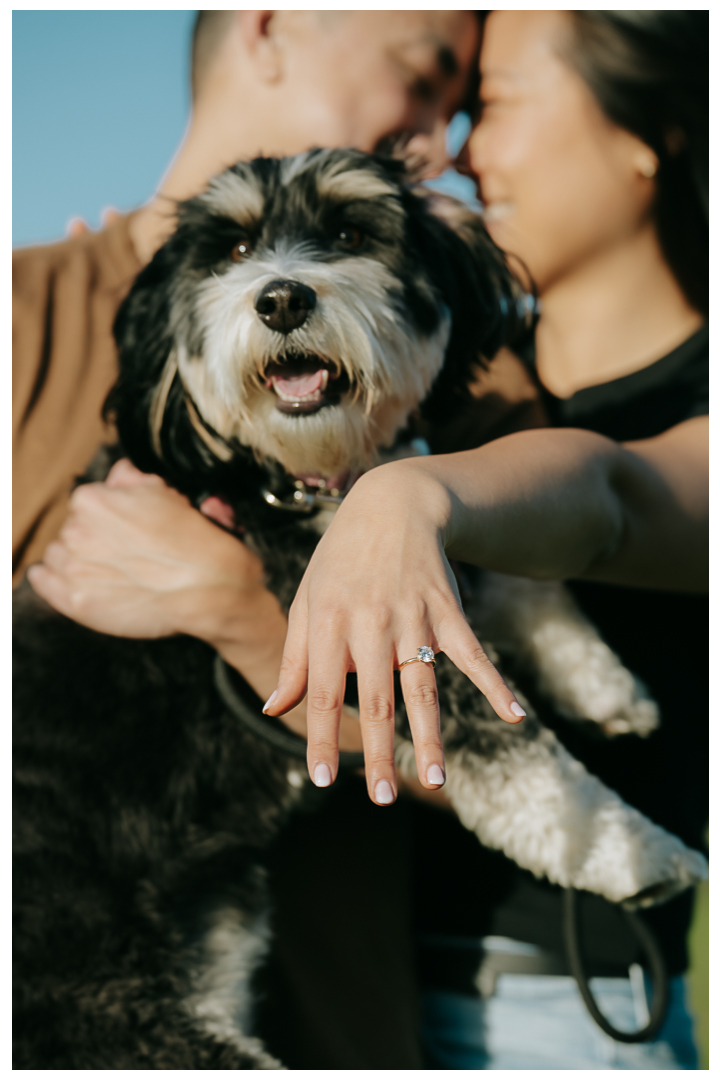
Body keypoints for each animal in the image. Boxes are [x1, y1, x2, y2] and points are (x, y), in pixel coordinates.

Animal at [12, 147, 708, 1067]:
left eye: (348, 233)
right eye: (233, 252)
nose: (281, 298)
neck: (303, 479)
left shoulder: (390, 545)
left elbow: (510, 575)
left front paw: (602, 682)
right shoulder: (353, 616)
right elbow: (517, 757)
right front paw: (638, 854)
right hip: (110, 1006)